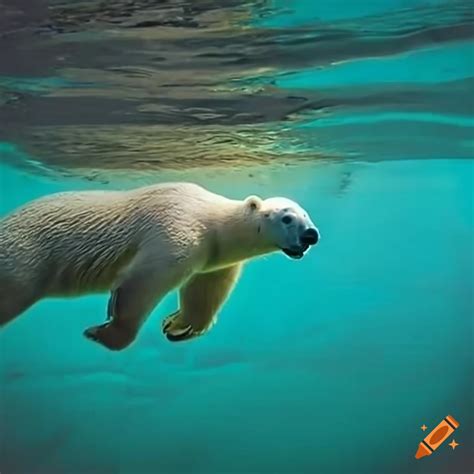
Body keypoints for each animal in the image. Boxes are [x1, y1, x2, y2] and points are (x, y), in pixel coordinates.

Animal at [0, 183, 320, 350]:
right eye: (286, 218)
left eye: (307, 215)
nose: (311, 235)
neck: (213, 219)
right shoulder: (176, 229)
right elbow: (144, 281)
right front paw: (103, 333)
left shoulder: (214, 257)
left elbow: (205, 291)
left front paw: (177, 326)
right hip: (23, 259)